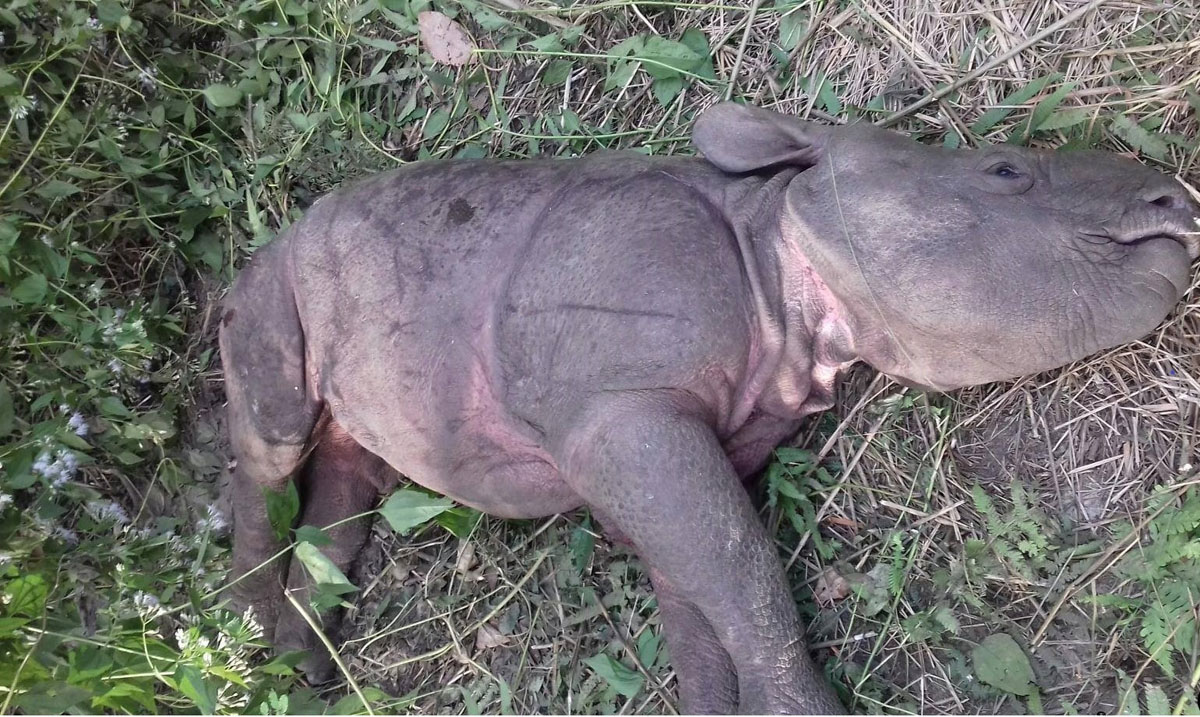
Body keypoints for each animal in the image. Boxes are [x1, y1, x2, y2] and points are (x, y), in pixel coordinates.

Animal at [218, 102, 1199, 714]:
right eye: (1004, 170)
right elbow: (743, 572)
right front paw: (801, 708)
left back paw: (300, 659)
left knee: (350, 468)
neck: (776, 250)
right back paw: (244, 639)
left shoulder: (677, 436)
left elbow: (703, 593)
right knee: (272, 431)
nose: (1175, 201)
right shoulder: (623, 410)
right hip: (275, 273)